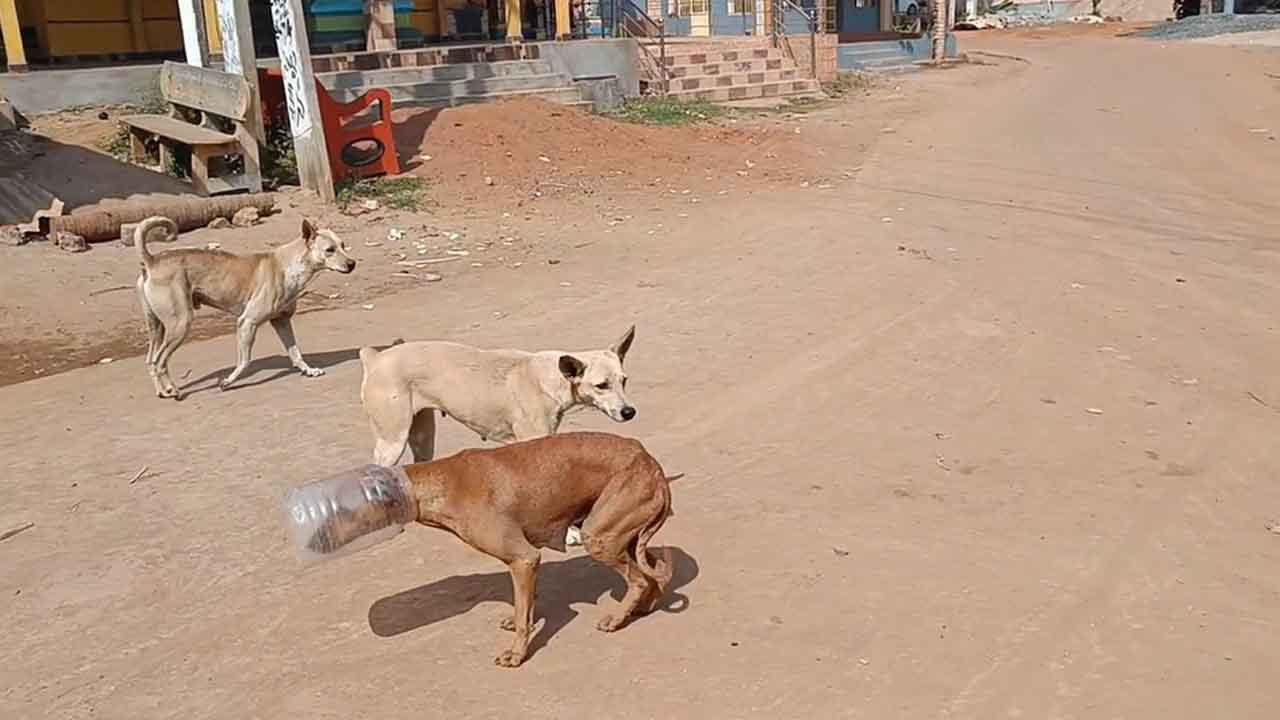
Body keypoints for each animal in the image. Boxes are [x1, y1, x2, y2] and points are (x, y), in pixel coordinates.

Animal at [133, 215, 355, 399]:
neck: (290, 265)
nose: (352, 264)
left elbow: (296, 352)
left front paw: (308, 370)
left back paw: (162, 391)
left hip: (157, 327)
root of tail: (152, 261)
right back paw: (173, 390)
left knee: (151, 361)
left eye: (343, 245)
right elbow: (245, 360)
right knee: (160, 362)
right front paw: (228, 382)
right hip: (180, 324)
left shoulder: (282, 322)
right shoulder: (247, 323)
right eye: (330, 250)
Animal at [285, 425, 675, 666]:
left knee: (639, 578)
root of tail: (651, 462)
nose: (312, 539)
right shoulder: (524, 564)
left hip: (600, 536)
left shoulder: (524, 558)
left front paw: (517, 654)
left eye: (343, 509)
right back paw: (639, 609)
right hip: (624, 535)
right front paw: (520, 620)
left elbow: (524, 613)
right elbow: (525, 606)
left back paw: (618, 618)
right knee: (651, 575)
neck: (441, 483)